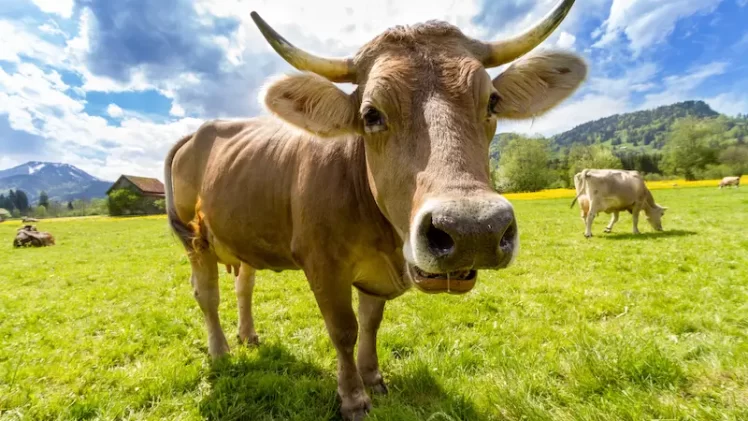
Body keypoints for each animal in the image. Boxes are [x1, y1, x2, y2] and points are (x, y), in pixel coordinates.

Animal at [165, 1, 586, 419]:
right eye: (371, 115)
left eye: (492, 102)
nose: (473, 230)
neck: (383, 237)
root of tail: (200, 131)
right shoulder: (323, 265)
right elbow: (343, 330)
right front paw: (353, 397)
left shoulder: (376, 274)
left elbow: (370, 323)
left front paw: (373, 378)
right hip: (195, 241)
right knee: (207, 294)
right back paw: (220, 352)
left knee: (244, 285)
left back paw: (248, 335)